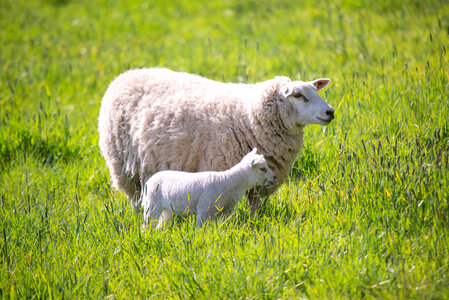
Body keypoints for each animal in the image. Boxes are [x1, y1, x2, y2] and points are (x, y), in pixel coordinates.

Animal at [99, 68, 336, 213]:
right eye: (298, 95)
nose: (330, 112)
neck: (250, 116)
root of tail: (126, 75)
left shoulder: (261, 180)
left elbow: (255, 207)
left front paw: (255, 224)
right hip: (124, 167)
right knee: (134, 198)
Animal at [140, 147, 274, 227]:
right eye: (262, 169)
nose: (274, 177)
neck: (229, 182)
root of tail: (148, 181)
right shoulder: (204, 210)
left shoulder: (224, 212)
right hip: (152, 206)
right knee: (146, 226)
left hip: (166, 209)